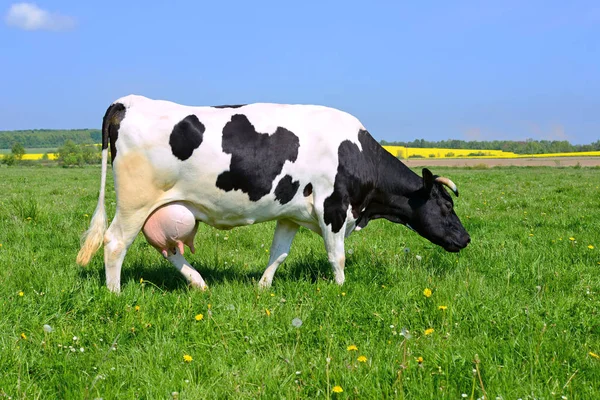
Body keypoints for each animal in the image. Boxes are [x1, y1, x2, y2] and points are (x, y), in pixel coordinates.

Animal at [76, 95, 468, 292]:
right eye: (446, 205)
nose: (466, 239)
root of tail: (130, 100)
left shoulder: (291, 214)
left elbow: (278, 254)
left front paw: (263, 288)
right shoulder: (333, 208)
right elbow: (337, 257)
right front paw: (341, 290)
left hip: (162, 208)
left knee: (166, 247)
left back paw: (199, 284)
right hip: (135, 202)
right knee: (115, 243)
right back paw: (115, 294)